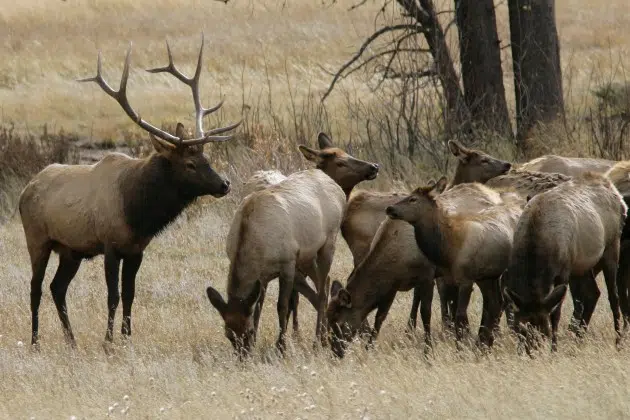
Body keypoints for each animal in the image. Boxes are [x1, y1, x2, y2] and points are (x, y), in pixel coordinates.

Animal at [19, 35, 242, 348]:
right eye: (189, 164)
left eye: (206, 158)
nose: (224, 184)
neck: (138, 213)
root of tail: (26, 189)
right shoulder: (111, 244)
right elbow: (112, 296)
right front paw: (108, 342)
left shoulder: (137, 249)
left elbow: (130, 295)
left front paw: (127, 338)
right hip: (37, 238)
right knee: (35, 287)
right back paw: (35, 341)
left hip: (71, 250)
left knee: (57, 287)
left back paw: (71, 340)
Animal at [206, 132, 380, 354]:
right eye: (229, 335)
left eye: (248, 332)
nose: (243, 356)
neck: (252, 245)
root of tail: (330, 181)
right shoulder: (263, 276)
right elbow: (258, 306)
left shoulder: (288, 263)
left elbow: (282, 306)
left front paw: (281, 347)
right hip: (307, 255)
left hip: (327, 242)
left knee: (323, 288)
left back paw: (319, 340)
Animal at [388, 177, 524, 348]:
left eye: (413, 199)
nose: (389, 208)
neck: (448, 249)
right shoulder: (450, 278)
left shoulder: (466, 279)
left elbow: (459, 314)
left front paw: (460, 346)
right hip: (488, 276)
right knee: (495, 303)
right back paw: (484, 342)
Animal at [502, 172, 628, 352]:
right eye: (521, 328)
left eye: (545, 331)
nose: (532, 352)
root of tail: (617, 194)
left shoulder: (563, 271)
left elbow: (556, 313)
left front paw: (554, 349)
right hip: (582, 264)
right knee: (593, 293)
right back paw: (578, 340)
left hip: (611, 247)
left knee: (613, 296)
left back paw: (618, 341)